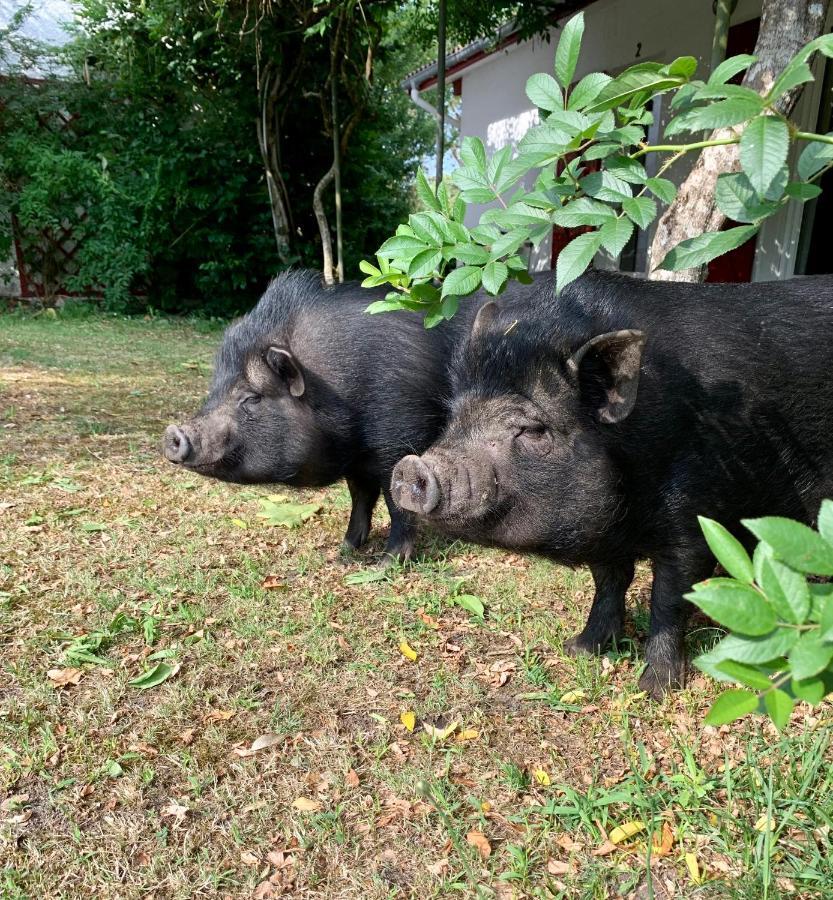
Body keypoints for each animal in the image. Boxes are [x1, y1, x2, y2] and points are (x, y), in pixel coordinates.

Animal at [162, 270, 474, 560]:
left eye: (251, 397)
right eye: (214, 390)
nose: (173, 433)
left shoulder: (400, 441)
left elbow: (398, 502)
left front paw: (387, 563)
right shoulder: (358, 460)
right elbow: (360, 496)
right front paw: (343, 550)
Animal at [394, 272, 832, 696]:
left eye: (531, 429)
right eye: (455, 415)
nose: (410, 468)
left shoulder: (697, 519)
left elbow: (669, 598)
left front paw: (655, 689)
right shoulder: (604, 532)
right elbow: (608, 582)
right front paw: (581, 649)